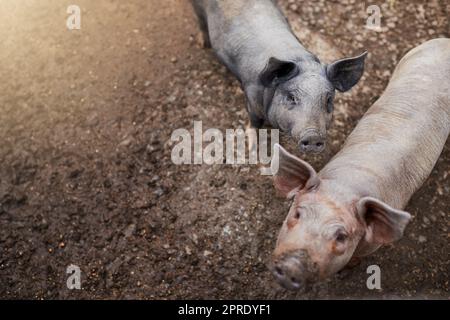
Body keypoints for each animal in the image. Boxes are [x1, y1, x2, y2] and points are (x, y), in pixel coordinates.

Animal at [188, 0, 368, 152]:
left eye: (329, 100)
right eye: (291, 98)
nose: (313, 136)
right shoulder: (251, 98)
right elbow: (254, 122)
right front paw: (252, 148)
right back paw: (202, 44)